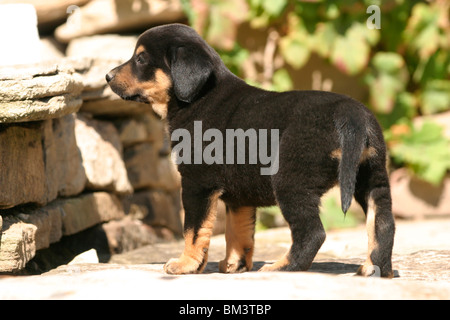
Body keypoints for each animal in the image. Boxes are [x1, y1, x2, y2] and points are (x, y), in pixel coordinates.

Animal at [107, 23, 396, 278]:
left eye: (141, 59)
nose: (108, 76)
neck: (198, 98)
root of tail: (351, 113)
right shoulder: (239, 196)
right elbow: (238, 232)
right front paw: (234, 265)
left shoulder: (196, 184)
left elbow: (194, 230)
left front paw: (185, 264)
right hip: (373, 177)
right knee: (383, 224)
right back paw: (375, 269)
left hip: (291, 181)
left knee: (312, 233)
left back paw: (282, 267)